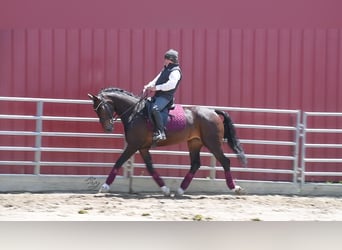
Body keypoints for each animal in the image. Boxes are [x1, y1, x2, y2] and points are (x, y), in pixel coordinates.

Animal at [87, 87, 246, 196]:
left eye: (101, 108)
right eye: (96, 110)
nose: (108, 128)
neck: (135, 112)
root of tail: (213, 111)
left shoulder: (133, 145)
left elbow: (118, 162)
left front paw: (104, 187)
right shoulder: (143, 148)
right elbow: (150, 168)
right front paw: (165, 189)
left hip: (213, 143)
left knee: (225, 161)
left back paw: (235, 188)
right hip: (194, 143)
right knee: (195, 164)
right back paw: (180, 190)